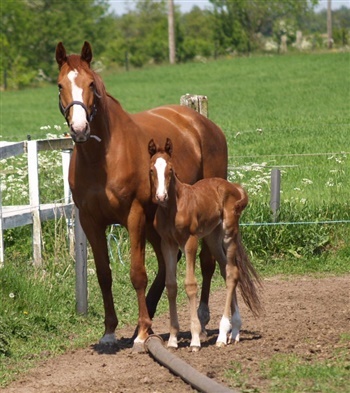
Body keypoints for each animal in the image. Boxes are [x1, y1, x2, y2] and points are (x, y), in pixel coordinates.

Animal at [55, 41, 227, 350]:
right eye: (60, 84)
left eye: (90, 84)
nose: (80, 129)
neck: (102, 157)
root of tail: (204, 125)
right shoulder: (90, 221)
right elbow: (104, 275)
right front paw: (110, 331)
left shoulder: (132, 216)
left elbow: (137, 273)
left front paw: (144, 334)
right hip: (156, 224)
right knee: (166, 266)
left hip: (199, 219)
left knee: (206, 262)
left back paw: (201, 319)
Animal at [148, 138, 260, 350]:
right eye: (151, 169)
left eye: (170, 169)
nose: (160, 196)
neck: (173, 207)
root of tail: (235, 187)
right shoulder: (168, 244)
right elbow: (171, 285)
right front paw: (173, 339)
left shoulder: (190, 240)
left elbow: (190, 284)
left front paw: (195, 339)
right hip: (213, 238)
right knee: (226, 270)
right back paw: (235, 330)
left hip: (228, 233)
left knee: (233, 273)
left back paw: (223, 335)